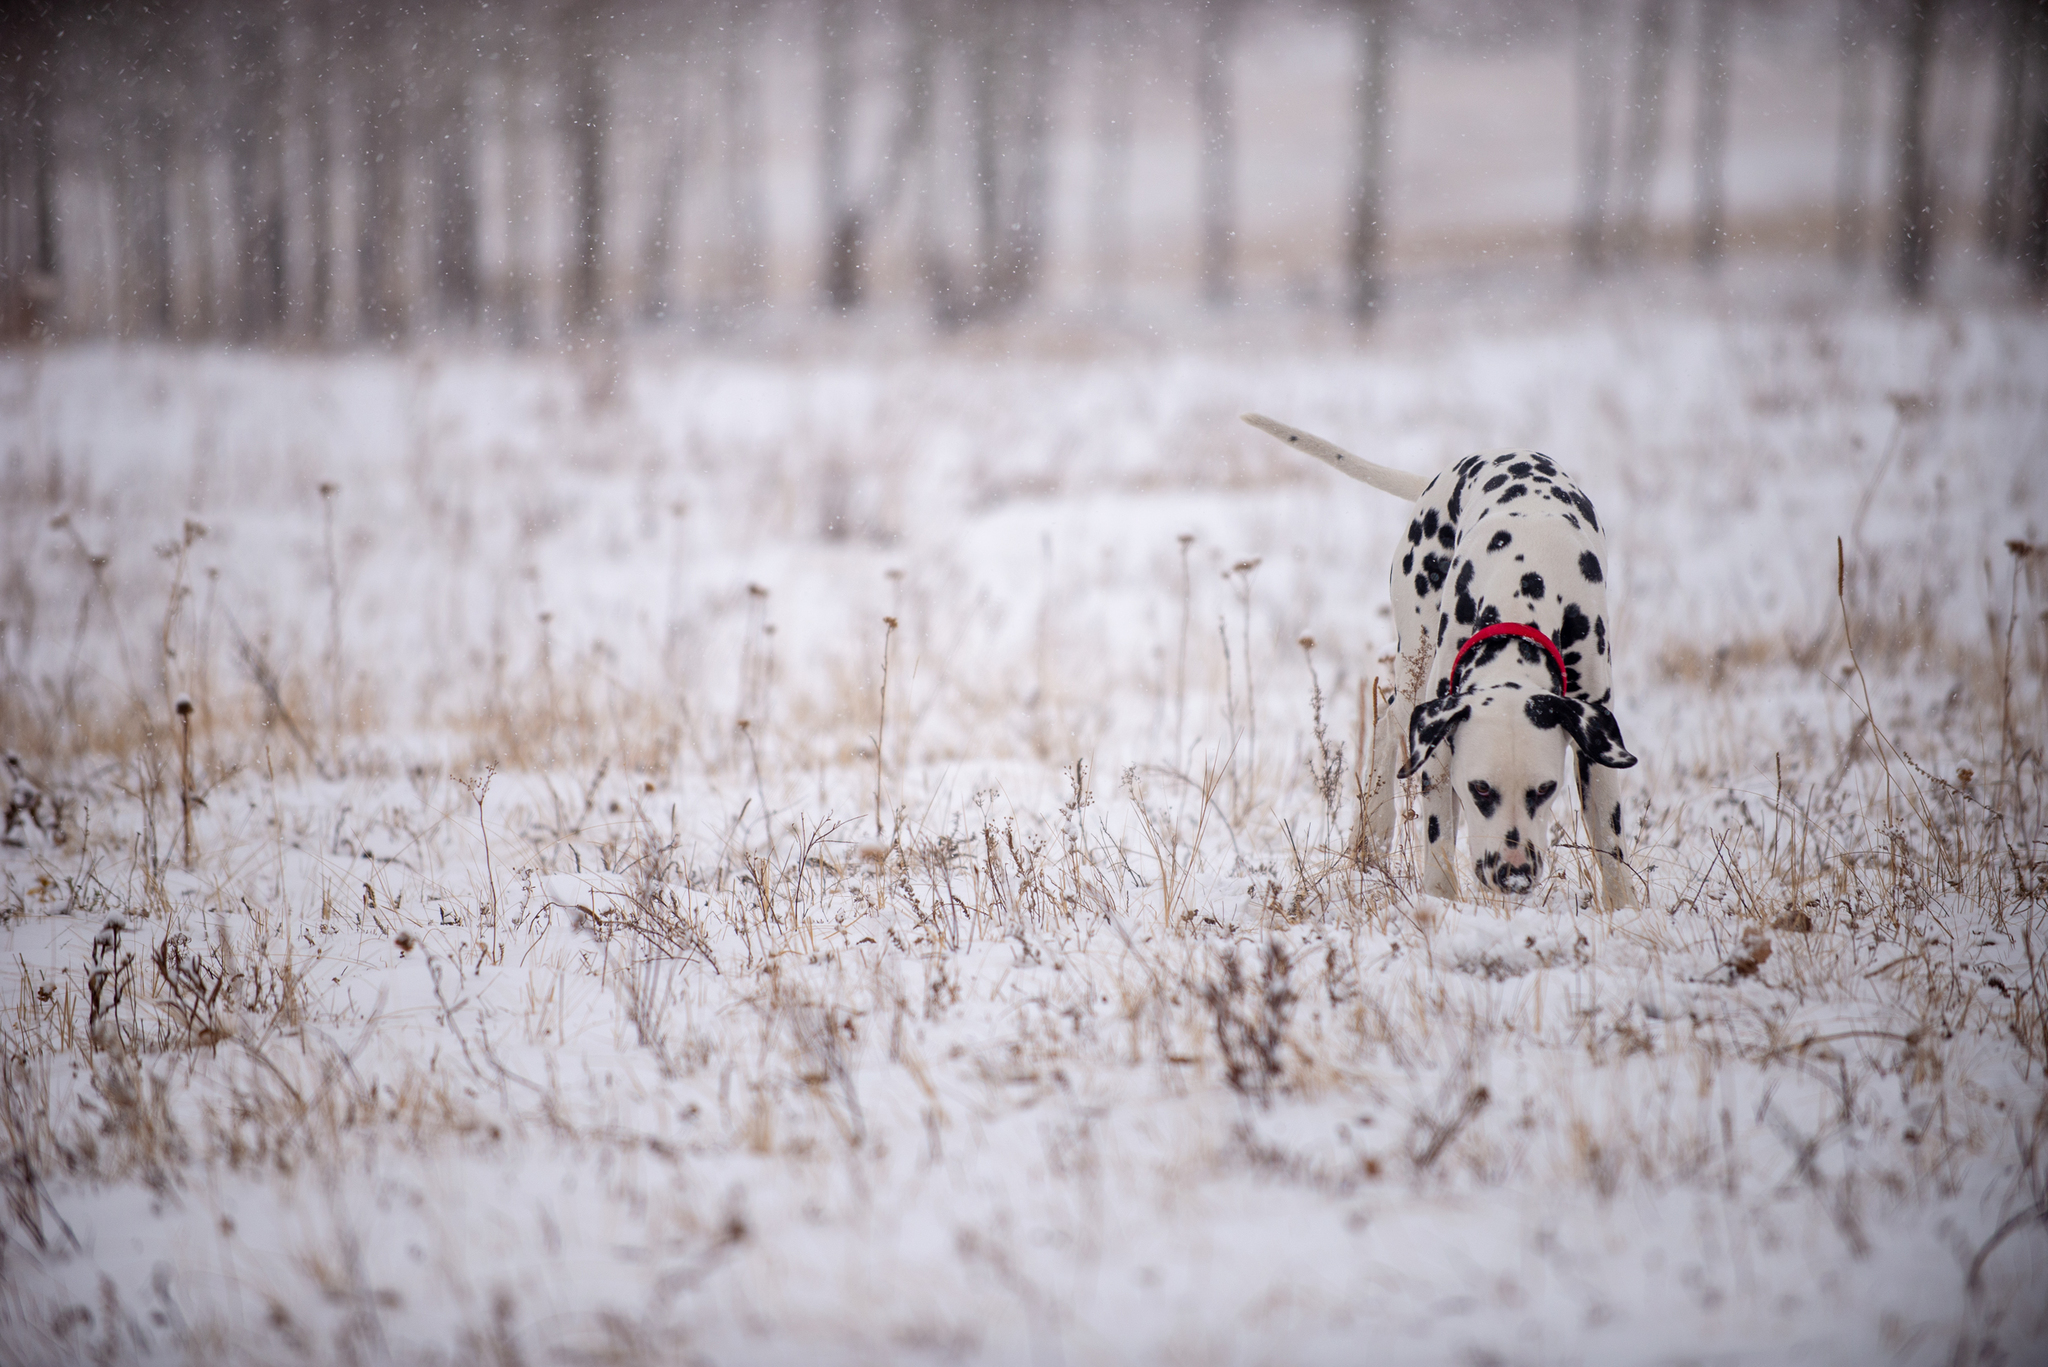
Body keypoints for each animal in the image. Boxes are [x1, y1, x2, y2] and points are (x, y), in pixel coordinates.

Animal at [1236, 413, 1638, 909]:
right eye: (1480, 787)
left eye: (1545, 789)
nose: (1514, 876)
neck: (1529, 584)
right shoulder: (1440, 742)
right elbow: (1437, 835)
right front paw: (1442, 904)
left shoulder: (1595, 743)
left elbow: (1611, 843)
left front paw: (1625, 911)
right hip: (1416, 662)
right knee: (1388, 721)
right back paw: (1373, 835)